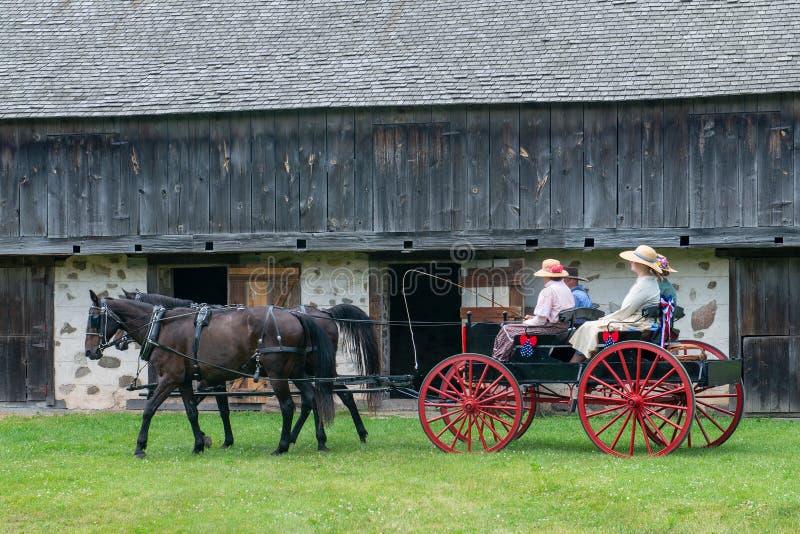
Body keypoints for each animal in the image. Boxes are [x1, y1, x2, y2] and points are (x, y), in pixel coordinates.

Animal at [118, 292, 382, 450]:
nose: (119, 343)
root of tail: (325, 314)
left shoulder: (208, 380)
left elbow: (207, 406)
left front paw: (211, 438)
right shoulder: (213, 379)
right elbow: (217, 409)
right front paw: (217, 439)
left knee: (335, 395)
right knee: (320, 397)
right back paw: (315, 438)